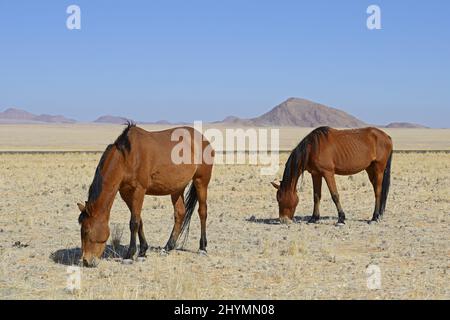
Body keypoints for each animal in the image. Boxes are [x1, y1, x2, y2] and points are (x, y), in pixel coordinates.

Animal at [77, 123, 214, 268]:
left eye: (86, 231)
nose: (86, 261)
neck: (127, 157)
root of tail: (203, 139)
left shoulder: (139, 190)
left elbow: (133, 222)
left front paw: (129, 255)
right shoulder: (126, 193)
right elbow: (139, 220)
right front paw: (142, 251)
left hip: (201, 181)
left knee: (202, 212)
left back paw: (202, 248)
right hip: (177, 188)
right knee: (180, 213)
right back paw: (167, 247)